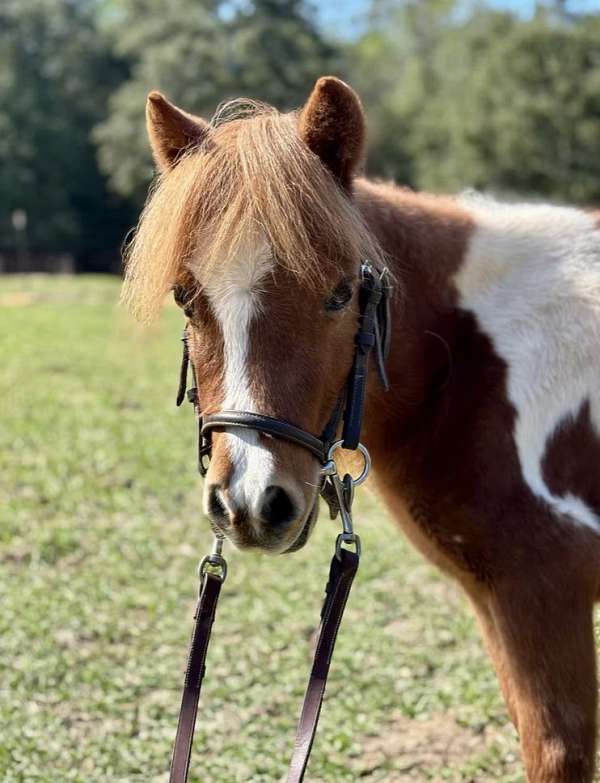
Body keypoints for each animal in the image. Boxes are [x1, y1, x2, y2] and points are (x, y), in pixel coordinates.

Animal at [122, 76, 600, 782]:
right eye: (185, 296)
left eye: (341, 294)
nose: (250, 503)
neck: (472, 360)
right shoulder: (501, 607)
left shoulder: (545, 600)